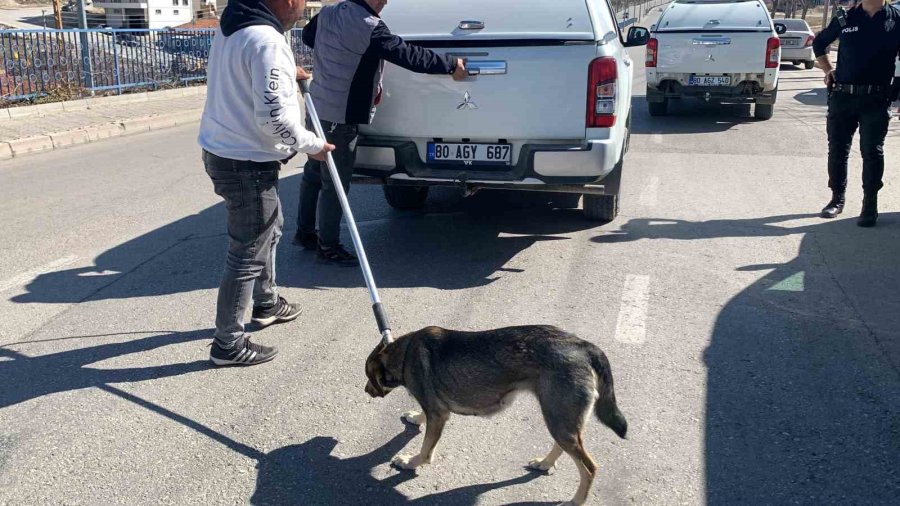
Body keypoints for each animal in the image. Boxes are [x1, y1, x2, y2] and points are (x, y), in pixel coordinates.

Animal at [364, 326, 624, 504]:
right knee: (563, 446)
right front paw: (416, 418)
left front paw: (410, 462)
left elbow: (426, 450)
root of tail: (582, 345)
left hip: (559, 419)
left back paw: (576, 500)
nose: (366, 391)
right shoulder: (435, 411)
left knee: (589, 468)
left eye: (368, 376)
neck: (404, 354)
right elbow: (423, 418)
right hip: (560, 418)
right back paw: (545, 463)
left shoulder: (438, 416)